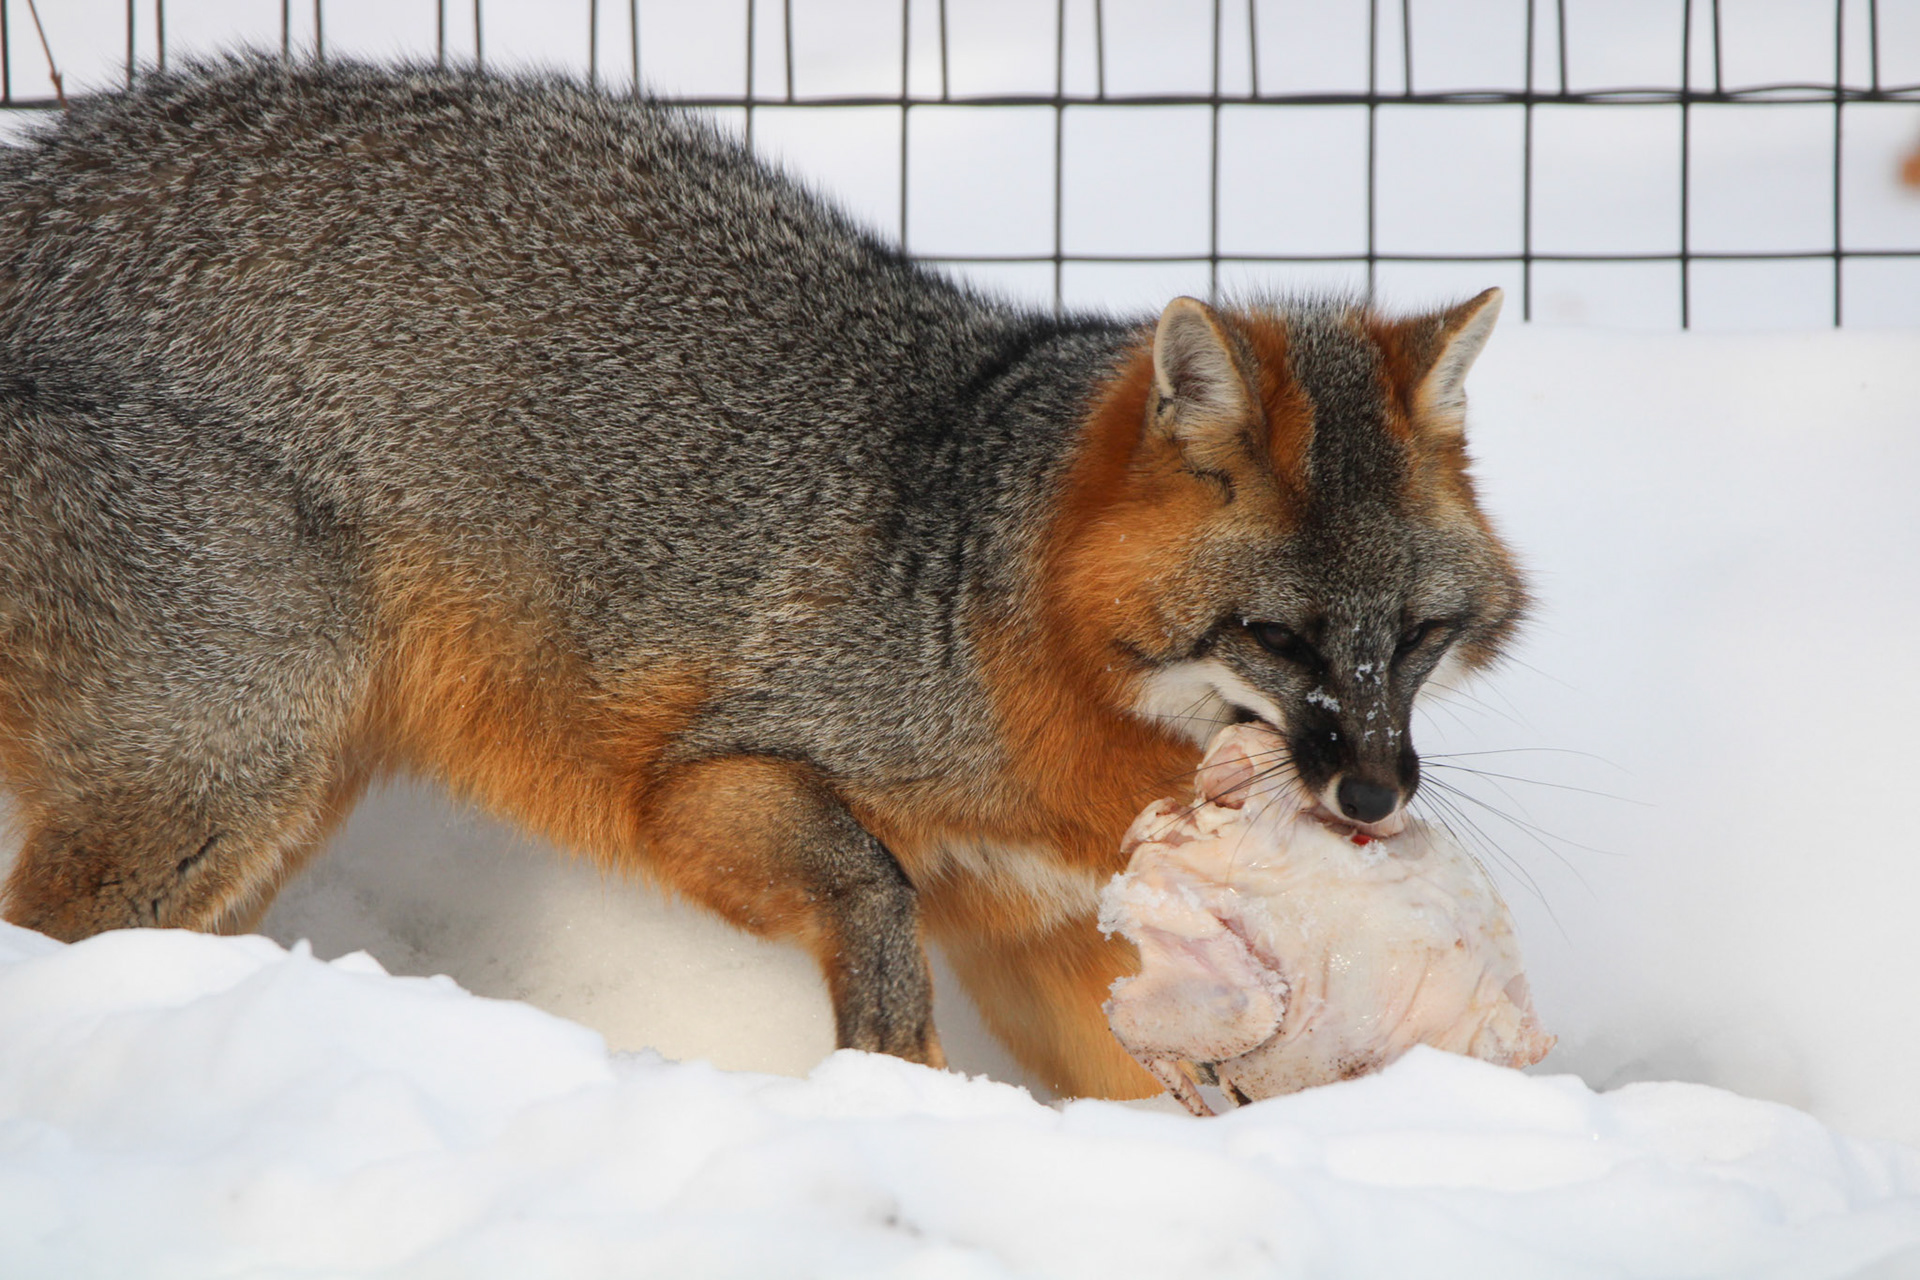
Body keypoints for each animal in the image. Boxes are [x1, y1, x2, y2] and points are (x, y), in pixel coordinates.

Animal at [0, 57, 1525, 1099]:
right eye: (1279, 637)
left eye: (1421, 637)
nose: (1376, 794)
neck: (975, 597)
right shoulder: (712, 780)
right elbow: (875, 895)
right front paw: (889, 1082)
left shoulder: (1035, 933)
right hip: (243, 757)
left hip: (278, 790)